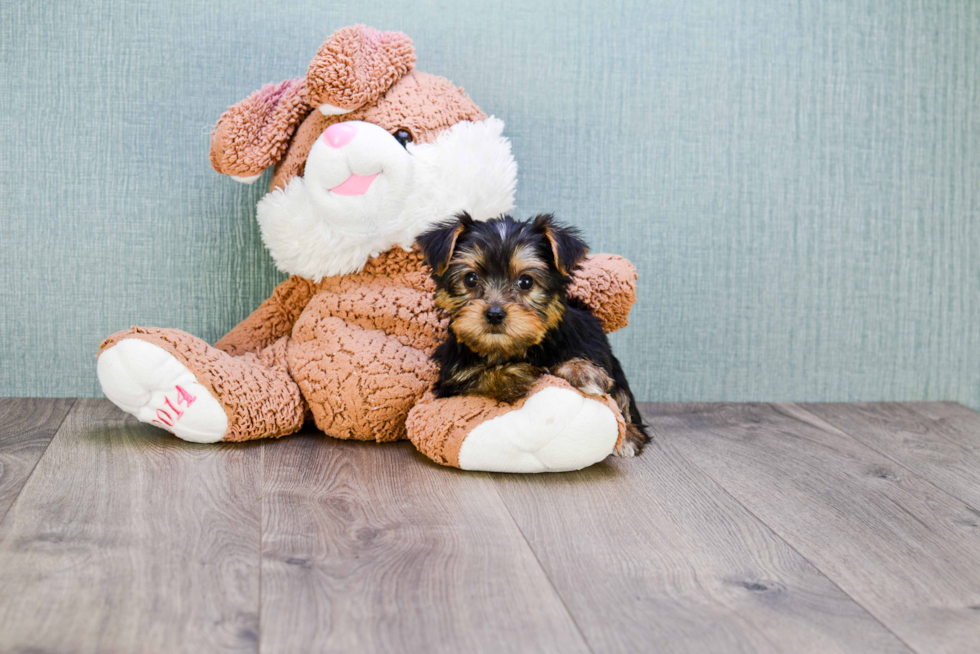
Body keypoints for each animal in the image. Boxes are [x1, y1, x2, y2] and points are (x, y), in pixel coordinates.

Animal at [418, 214, 648, 456]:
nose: (494, 314)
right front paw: (514, 375)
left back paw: (629, 436)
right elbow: (475, 377)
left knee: (623, 395)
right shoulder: (451, 377)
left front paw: (583, 372)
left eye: (526, 281)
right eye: (471, 279)